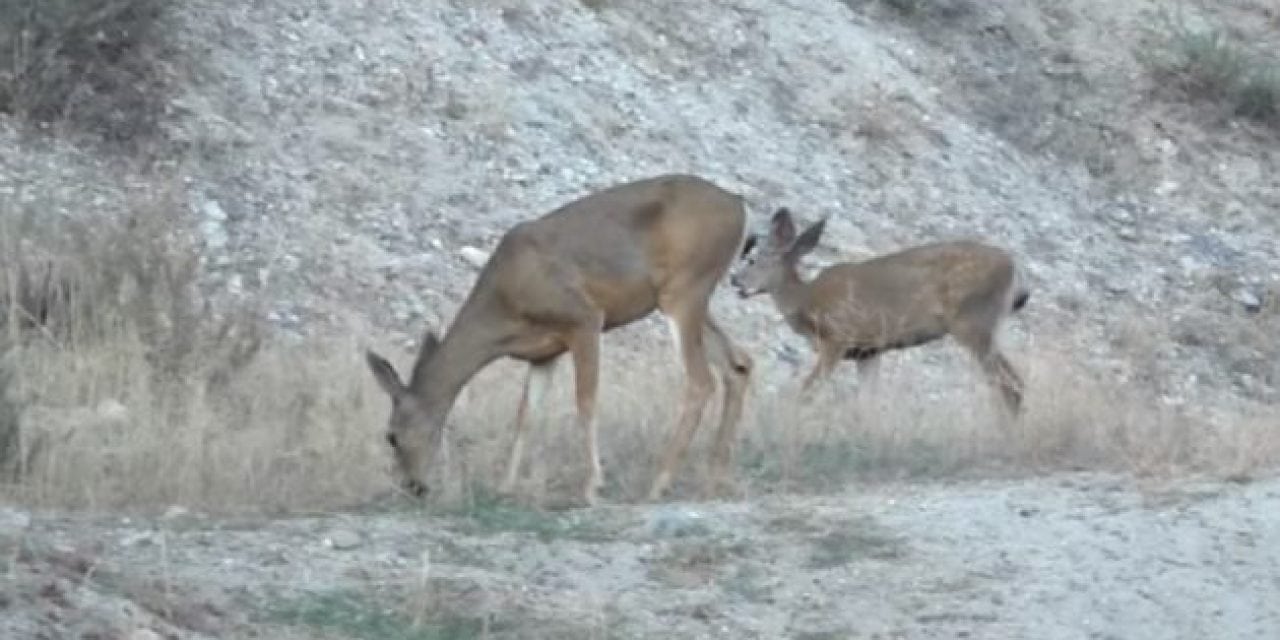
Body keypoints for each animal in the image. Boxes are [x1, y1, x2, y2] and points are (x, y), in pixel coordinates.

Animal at [366, 174, 752, 504]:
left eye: (391, 436)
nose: (412, 487)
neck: (504, 309)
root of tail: (738, 205)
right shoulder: (542, 353)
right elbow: (526, 416)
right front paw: (506, 486)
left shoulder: (584, 318)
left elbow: (585, 401)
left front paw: (592, 487)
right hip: (692, 297)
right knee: (739, 363)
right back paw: (714, 478)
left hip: (684, 289)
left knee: (701, 381)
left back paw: (659, 483)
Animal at [732, 207, 1029, 412]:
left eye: (753, 260)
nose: (735, 280)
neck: (808, 302)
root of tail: (1015, 271)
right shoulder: (868, 350)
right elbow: (867, 402)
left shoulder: (838, 337)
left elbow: (809, 389)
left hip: (973, 322)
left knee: (1009, 383)